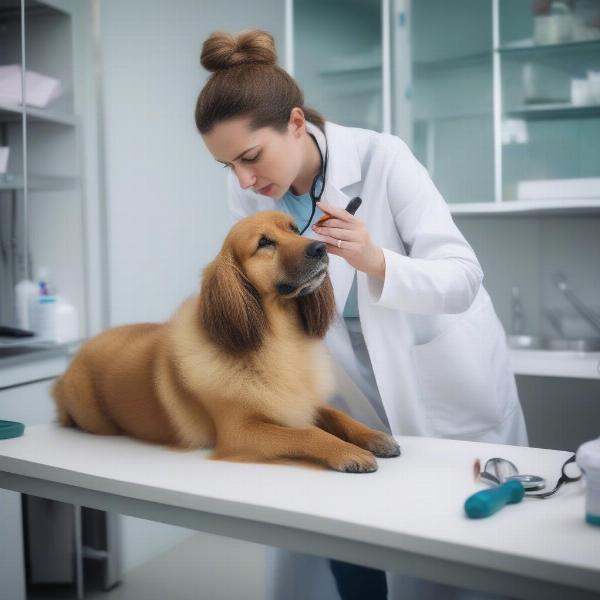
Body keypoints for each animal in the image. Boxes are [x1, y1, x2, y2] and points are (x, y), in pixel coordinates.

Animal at [51, 211, 398, 474]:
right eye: (264, 242)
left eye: (293, 229)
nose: (320, 248)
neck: (278, 338)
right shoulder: (240, 433)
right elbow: (307, 432)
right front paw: (346, 451)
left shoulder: (299, 403)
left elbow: (336, 415)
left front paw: (372, 436)